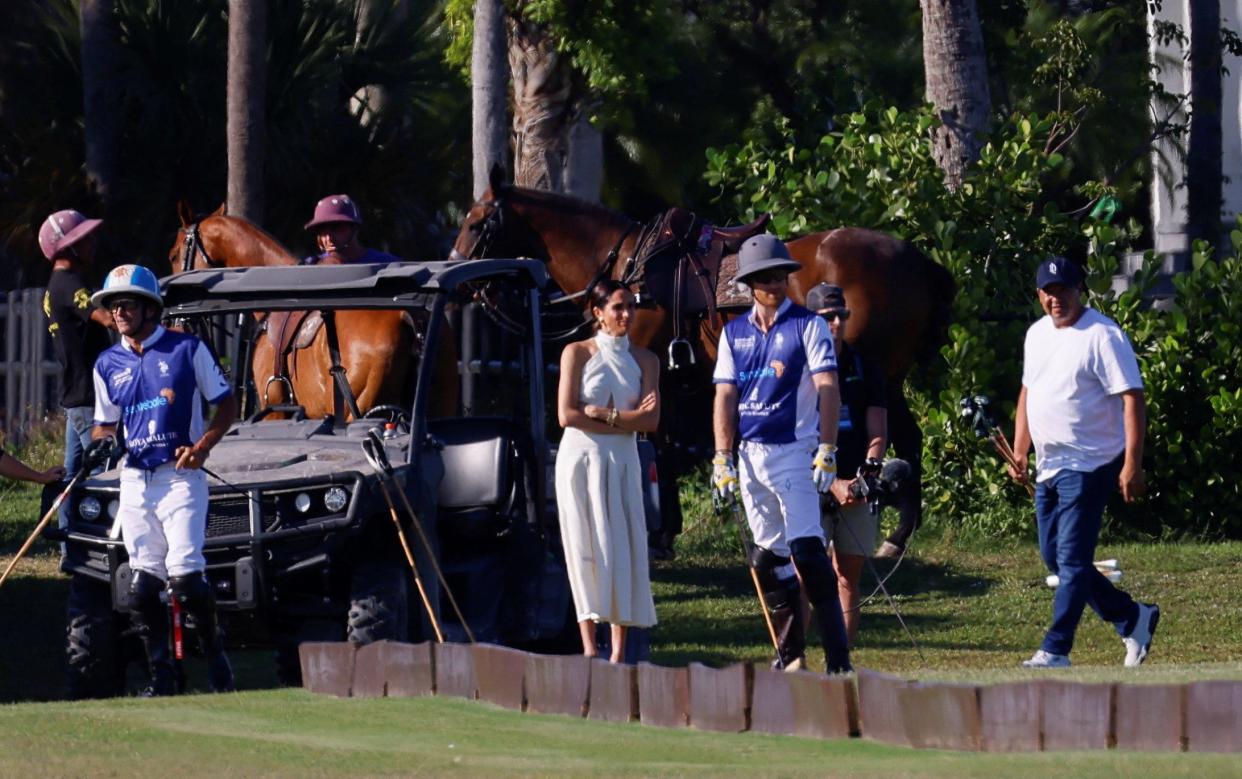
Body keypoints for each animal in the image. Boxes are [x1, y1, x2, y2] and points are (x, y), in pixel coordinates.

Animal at [452, 178, 953, 554]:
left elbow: (655, 447)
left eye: (476, 223)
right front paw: (668, 529)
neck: (626, 270)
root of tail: (919, 261)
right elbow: (666, 450)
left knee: (905, 439)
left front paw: (659, 536)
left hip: (882, 374)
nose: (456, 276)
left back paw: (896, 535)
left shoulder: (646, 369)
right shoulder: (670, 380)